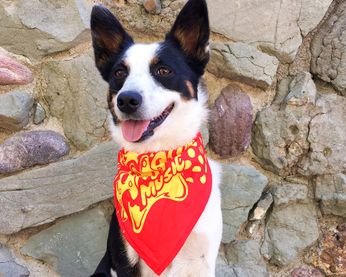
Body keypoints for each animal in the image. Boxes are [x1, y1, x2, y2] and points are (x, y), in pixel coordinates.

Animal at [90, 1, 223, 274]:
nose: (126, 100)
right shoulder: (123, 259)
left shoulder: (203, 260)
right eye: (119, 73)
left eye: (163, 70)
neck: (158, 159)